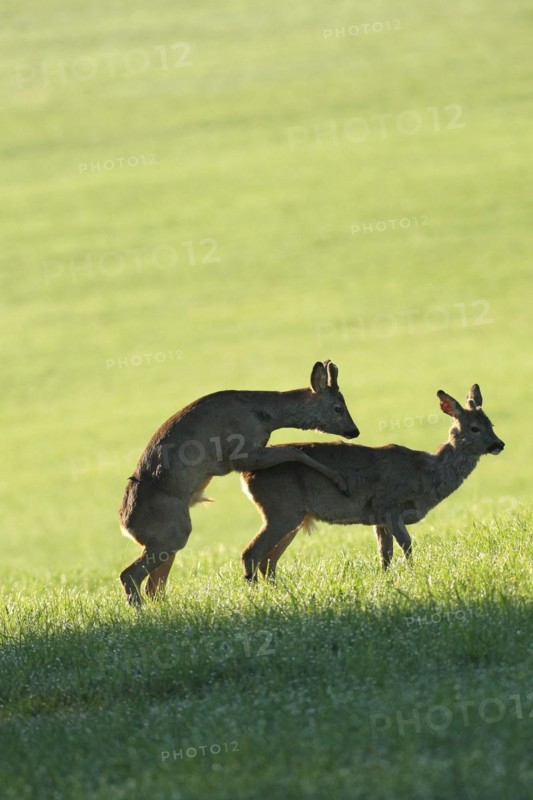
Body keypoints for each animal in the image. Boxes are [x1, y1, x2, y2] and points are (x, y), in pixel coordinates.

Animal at [119, 360, 359, 605]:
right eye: (338, 408)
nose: (354, 430)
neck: (264, 416)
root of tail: (126, 525)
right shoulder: (240, 453)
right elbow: (294, 451)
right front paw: (340, 481)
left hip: (167, 537)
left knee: (153, 586)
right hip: (172, 532)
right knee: (129, 575)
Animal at [240, 384, 505, 581]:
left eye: (491, 423)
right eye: (474, 428)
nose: (499, 444)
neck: (425, 475)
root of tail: (246, 476)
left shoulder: (378, 517)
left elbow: (384, 554)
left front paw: (387, 578)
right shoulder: (389, 505)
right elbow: (406, 544)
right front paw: (413, 574)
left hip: (292, 516)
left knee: (268, 561)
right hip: (282, 510)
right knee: (251, 554)